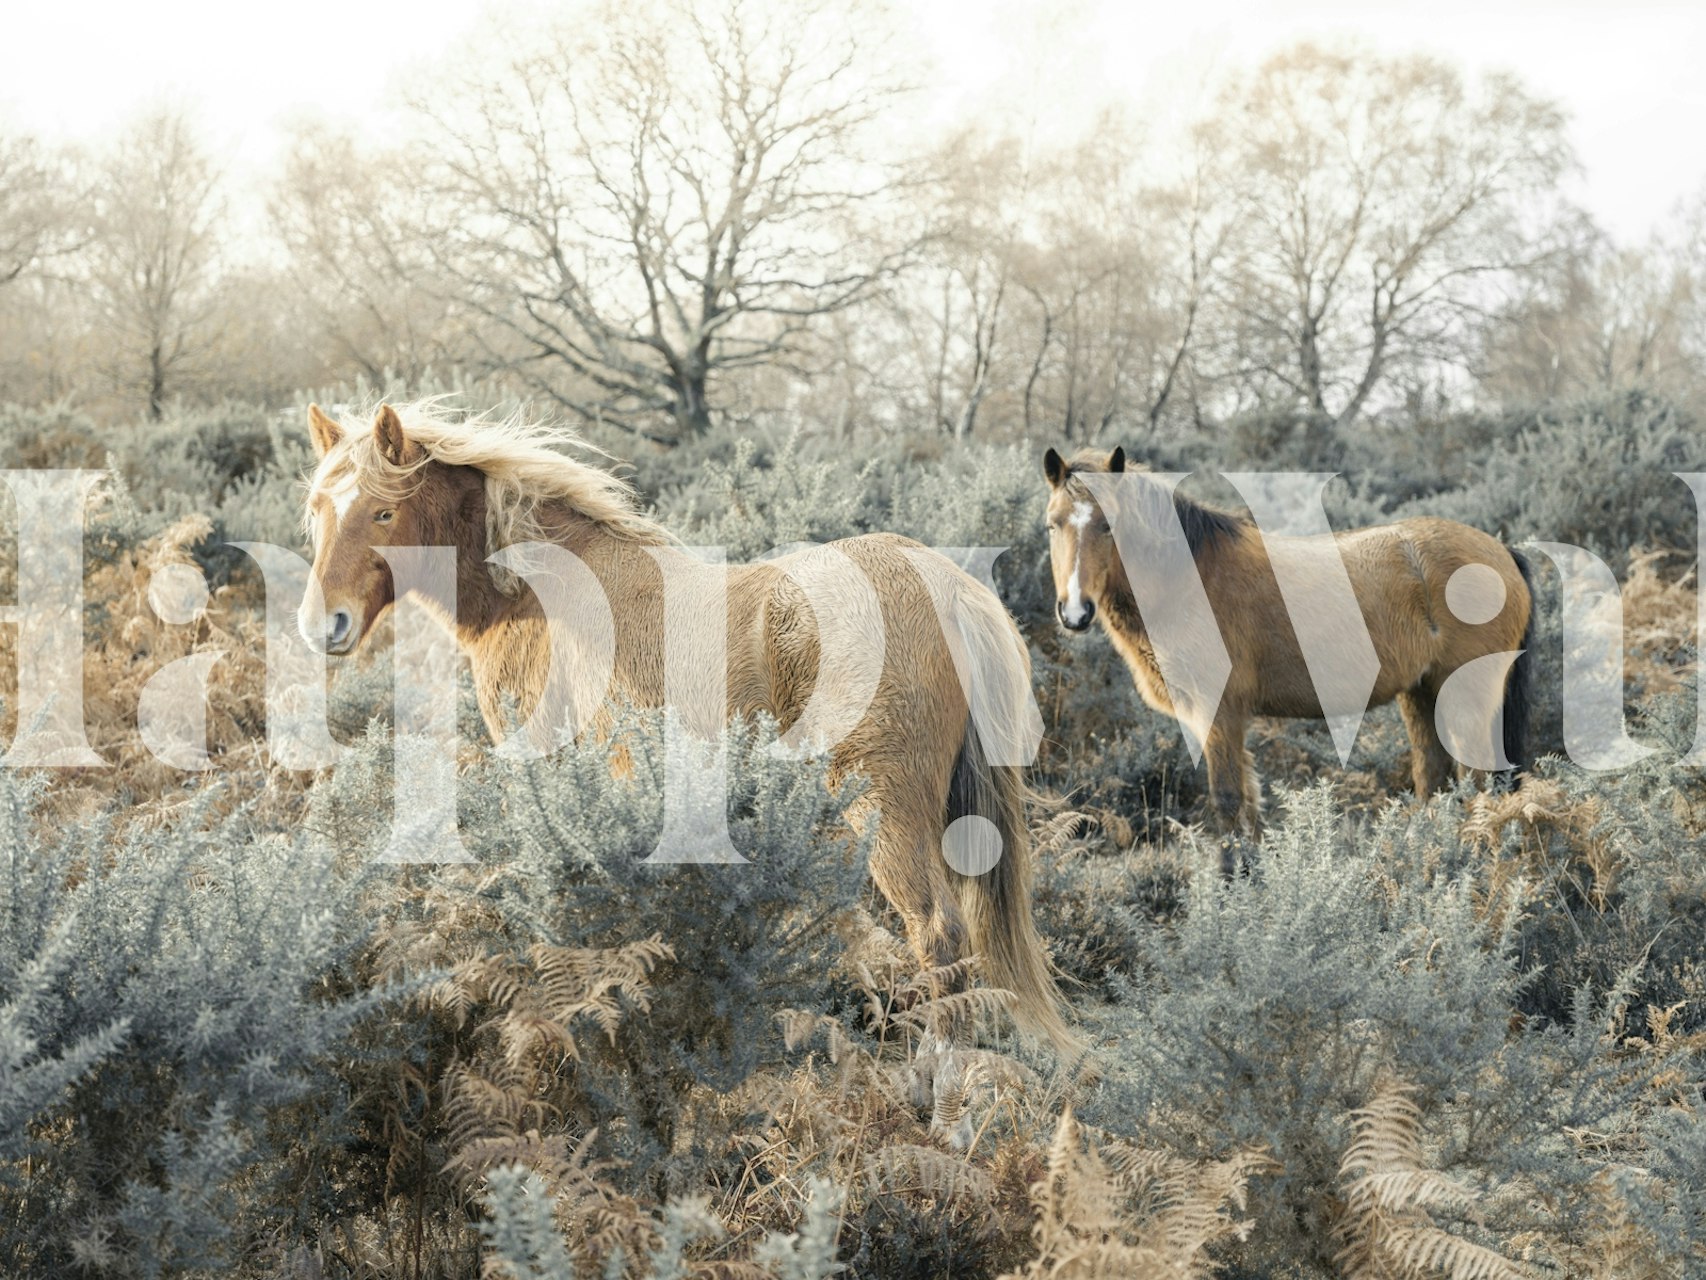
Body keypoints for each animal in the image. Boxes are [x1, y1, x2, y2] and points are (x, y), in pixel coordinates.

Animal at [296, 401, 1070, 1050]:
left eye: (383, 513)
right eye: (317, 510)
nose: (321, 625)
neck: (536, 594)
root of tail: (946, 585)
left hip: (887, 810)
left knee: (936, 930)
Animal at [1042, 445, 1533, 848]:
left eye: (1109, 525)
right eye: (1052, 525)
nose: (1075, 612)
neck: (1187, 577)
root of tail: (1502, 552)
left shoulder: (1218, 714)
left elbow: (1227, 801)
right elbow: (1249, 807)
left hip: (1463, 700)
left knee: (1476, 785)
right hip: (1420, 693)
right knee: (1434, 778)